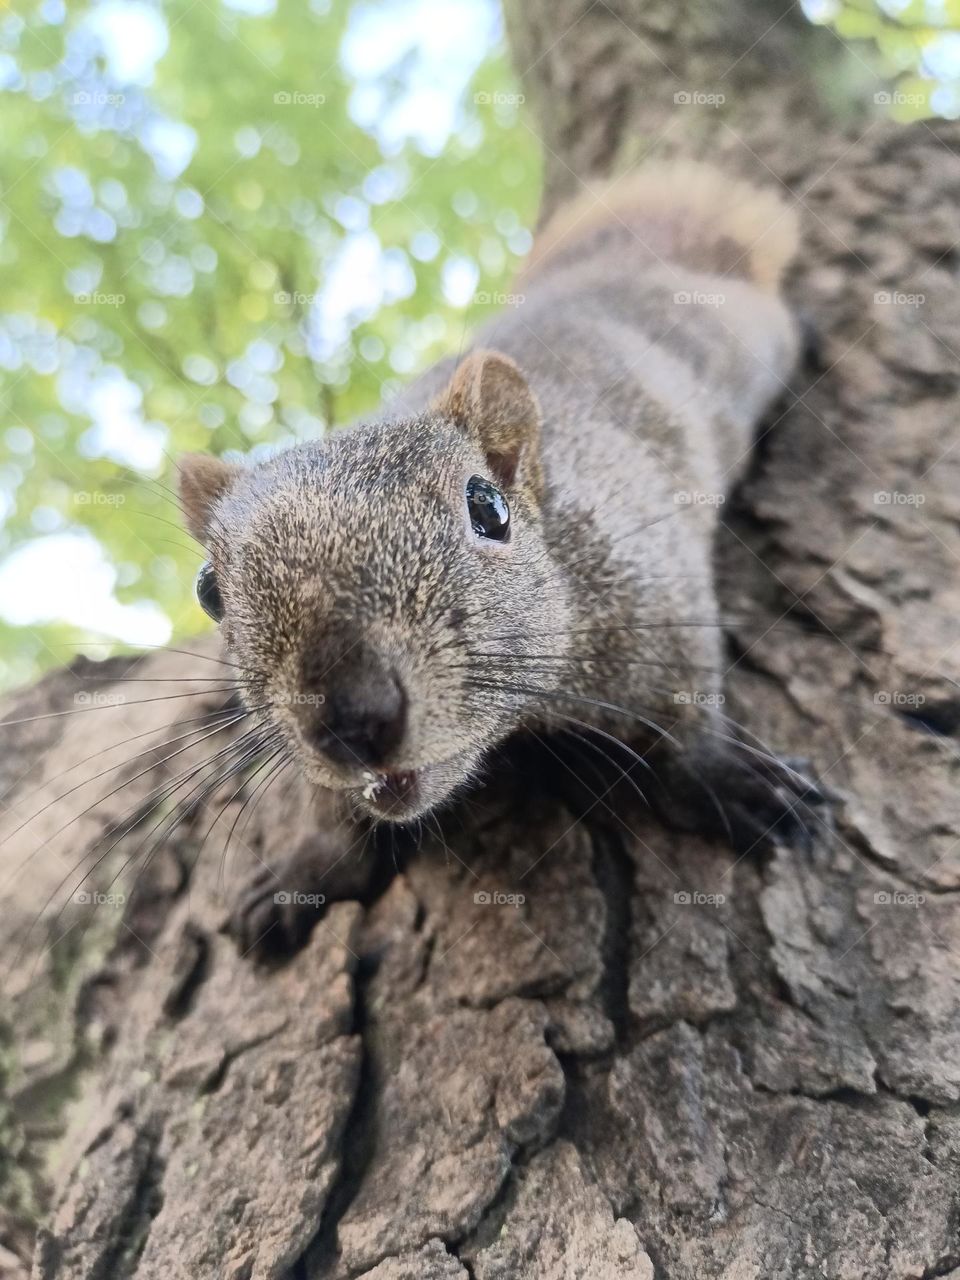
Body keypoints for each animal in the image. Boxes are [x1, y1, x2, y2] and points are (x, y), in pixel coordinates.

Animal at [178, 160, 823, 956]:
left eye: (487, 508)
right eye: (208, 589)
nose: (350, 721)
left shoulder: (654, 583)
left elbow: (686, 711)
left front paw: (731, 778)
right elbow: (333, 815)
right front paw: (303, 870)